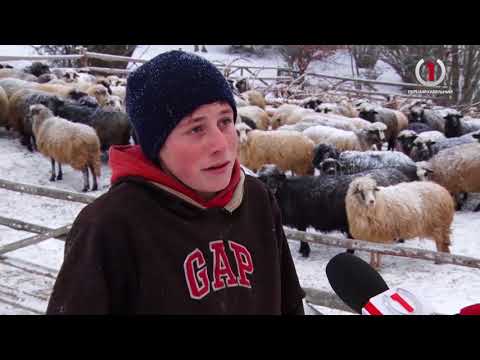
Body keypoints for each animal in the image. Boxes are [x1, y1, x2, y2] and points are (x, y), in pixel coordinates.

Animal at [258, 165, 412, 258]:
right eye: (263, 179)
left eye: (276, 177)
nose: (271, 187)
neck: (286, 191)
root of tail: (399, 174)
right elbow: (302, 235)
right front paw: (303, 250)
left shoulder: (301, 219)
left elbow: (303, 236)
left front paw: (305, 251)